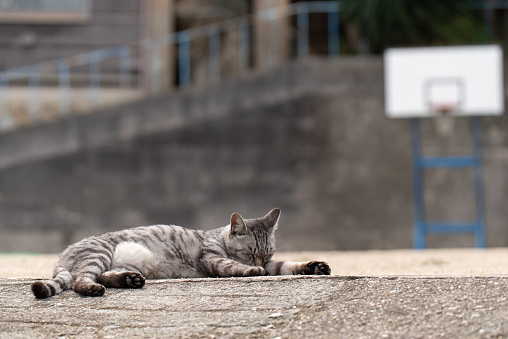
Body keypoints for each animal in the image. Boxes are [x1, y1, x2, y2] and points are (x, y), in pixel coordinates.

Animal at [32, 209, 334, 298]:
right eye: (250, 254)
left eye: (267, 253)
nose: (259, 262)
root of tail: (61, 257)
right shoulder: (211, 258)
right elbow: (231, 266)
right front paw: (250, 270)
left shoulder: (276, 264)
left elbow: (287, 265)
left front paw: (314, 266)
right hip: (99, 254)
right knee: (80, 280)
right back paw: (94, 288)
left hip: (114, 264)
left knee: (104, 276)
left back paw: (130, 280)